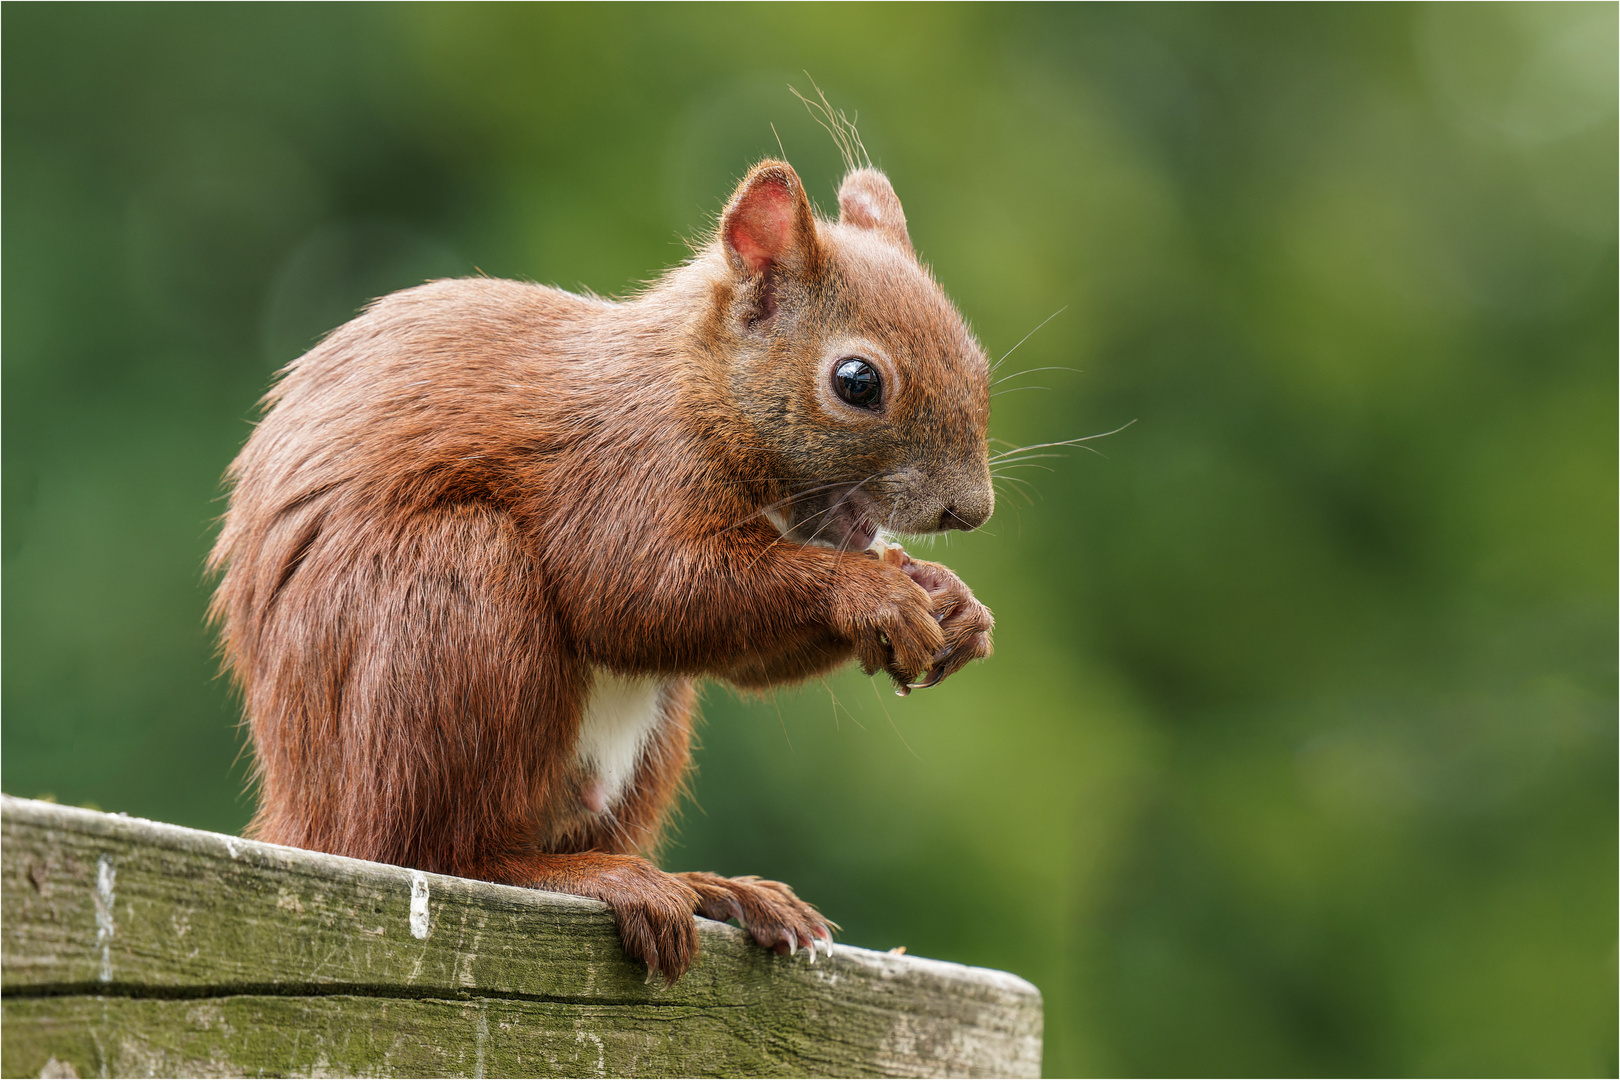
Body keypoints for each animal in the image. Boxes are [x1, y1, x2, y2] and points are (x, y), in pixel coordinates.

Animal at [212, 158, 997, 977]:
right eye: (857, 381)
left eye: (977, 364)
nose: (971, 510)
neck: (699, 388)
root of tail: (306, 816)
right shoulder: (625, 470)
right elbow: (635, 590)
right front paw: (873, 591)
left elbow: (741, 656)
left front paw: (956, 606)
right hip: (456, 601)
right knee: (432, 851)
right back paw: (588, 877)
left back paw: (711, 888)